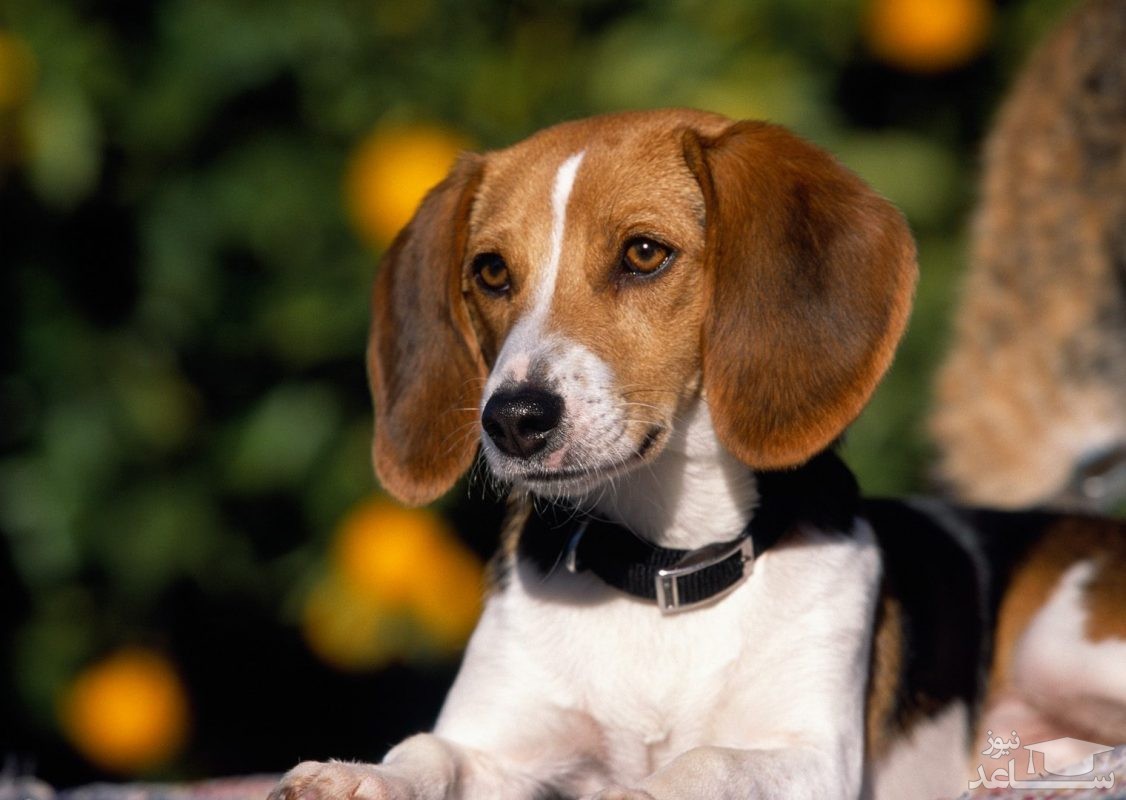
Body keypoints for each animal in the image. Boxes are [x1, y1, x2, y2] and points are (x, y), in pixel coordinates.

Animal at [272, 108, 1126, 800]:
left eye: (645, 253)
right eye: (489, 271)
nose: (512, 419)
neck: (662, 569)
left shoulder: (813, 757)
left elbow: (706, 761)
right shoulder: (502, 744)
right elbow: (430, 750)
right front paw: (359, 776)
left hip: (1061, 638)